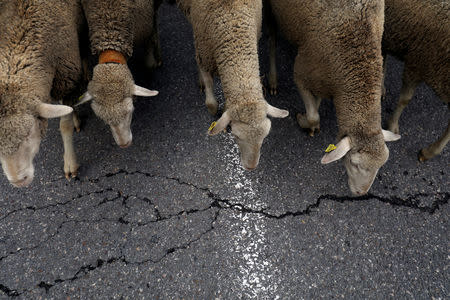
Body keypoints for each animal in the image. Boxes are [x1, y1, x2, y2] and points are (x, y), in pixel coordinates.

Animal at [266, 0, 400, 196]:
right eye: (353, 163)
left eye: (380, 165)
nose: (361, 193)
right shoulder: (301, 74)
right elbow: (314, 116)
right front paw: (304, 121)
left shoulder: (325, 81)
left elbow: (317, 103)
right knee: (272, 38)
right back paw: (272, 79)